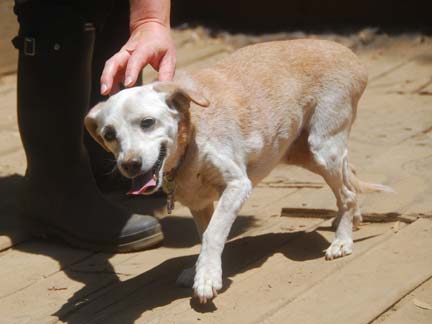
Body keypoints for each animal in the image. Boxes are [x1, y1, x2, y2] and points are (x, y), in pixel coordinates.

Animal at [84, 39, 392, 304]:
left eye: (147, 122)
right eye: (109, 135)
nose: (129, 164)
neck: (191, 134)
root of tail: (350, 56)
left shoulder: (237, 186)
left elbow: (213, 234)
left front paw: (206, 279)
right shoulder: (199, 203)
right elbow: (206, 234)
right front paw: (201, 269)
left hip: (322, 149)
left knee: (348, 193)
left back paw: (342, 241)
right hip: (303, 153)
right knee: (348, 181)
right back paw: (350, 220)